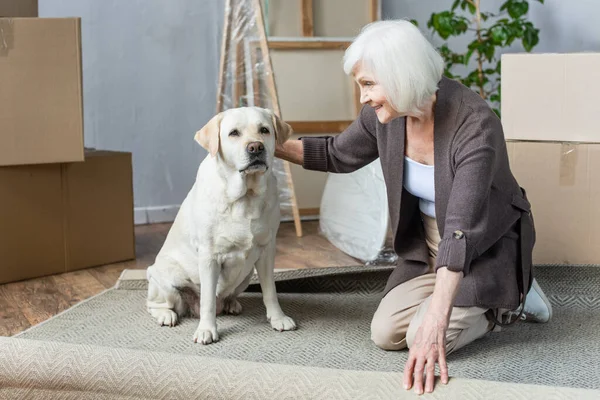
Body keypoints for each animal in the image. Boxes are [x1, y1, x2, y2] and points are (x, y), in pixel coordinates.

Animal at [145, 105, 296, 344]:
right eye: (234, 133)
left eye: (264, 130)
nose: (256, 147)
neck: (245, 196)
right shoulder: (209, 256)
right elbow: (208, 299)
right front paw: (206, 330)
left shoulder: (267, 250)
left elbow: (270, 291)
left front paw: (278, 318)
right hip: (165, 278)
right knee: (156, 304)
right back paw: (166, 315)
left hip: (246, 276)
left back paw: (231, 304)